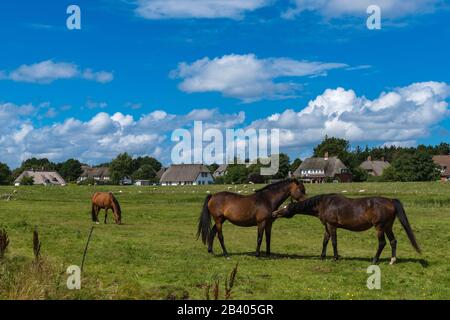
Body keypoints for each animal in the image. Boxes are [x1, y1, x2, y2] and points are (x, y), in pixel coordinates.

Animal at [270, 194, 422, 264]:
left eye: (286, 208)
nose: (274, 213)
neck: (324, 203)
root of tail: (390, 200)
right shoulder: (326, 226)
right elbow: (325, 241)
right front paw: (322, 256)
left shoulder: (332, 225)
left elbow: (334, 242)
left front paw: (335, 257)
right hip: (387, 226)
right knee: (393, 241)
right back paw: (392, 260)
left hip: (379, 227)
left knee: (382, 243)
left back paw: (374, 260)